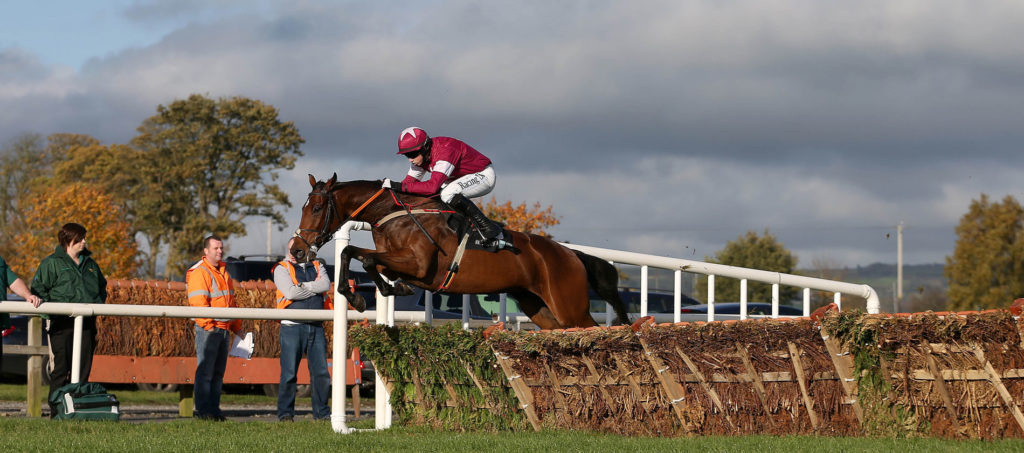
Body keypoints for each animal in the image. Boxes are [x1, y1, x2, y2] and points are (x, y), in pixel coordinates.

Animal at [290, 173, 631, 330]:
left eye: (317, 208)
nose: (297, 251)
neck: (393, 214)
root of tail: (572, 255)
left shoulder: (419, 265)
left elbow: (367, 258)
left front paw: (382, 291)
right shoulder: (399, 263)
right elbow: (355, 255)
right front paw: (368, 294)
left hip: (569, 306)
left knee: (593, 331)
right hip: (539, 307)